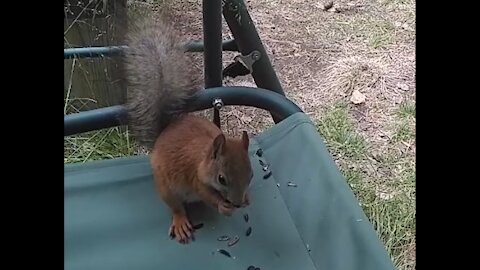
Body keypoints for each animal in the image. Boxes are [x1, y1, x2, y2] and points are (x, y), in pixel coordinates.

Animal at [122, 13, 253, 244]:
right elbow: (205, 193)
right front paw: (222, 206)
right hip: (166, 188)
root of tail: (164, 132)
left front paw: (246, 199)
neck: (205, 156)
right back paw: (180, 221)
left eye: (250, 174)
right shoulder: (194, 176)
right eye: (221, 178)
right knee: (176, 207)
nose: (237, 203)